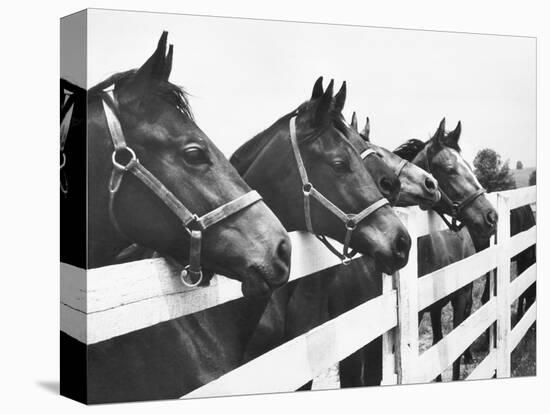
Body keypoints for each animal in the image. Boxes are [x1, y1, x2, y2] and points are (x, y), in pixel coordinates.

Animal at [394, 118, 502, 380]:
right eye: (451, 169)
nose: (491, 217)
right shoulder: (420, 312)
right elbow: (438, 344)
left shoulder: (460, 295)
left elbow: (455, 344)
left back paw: (470, 355)